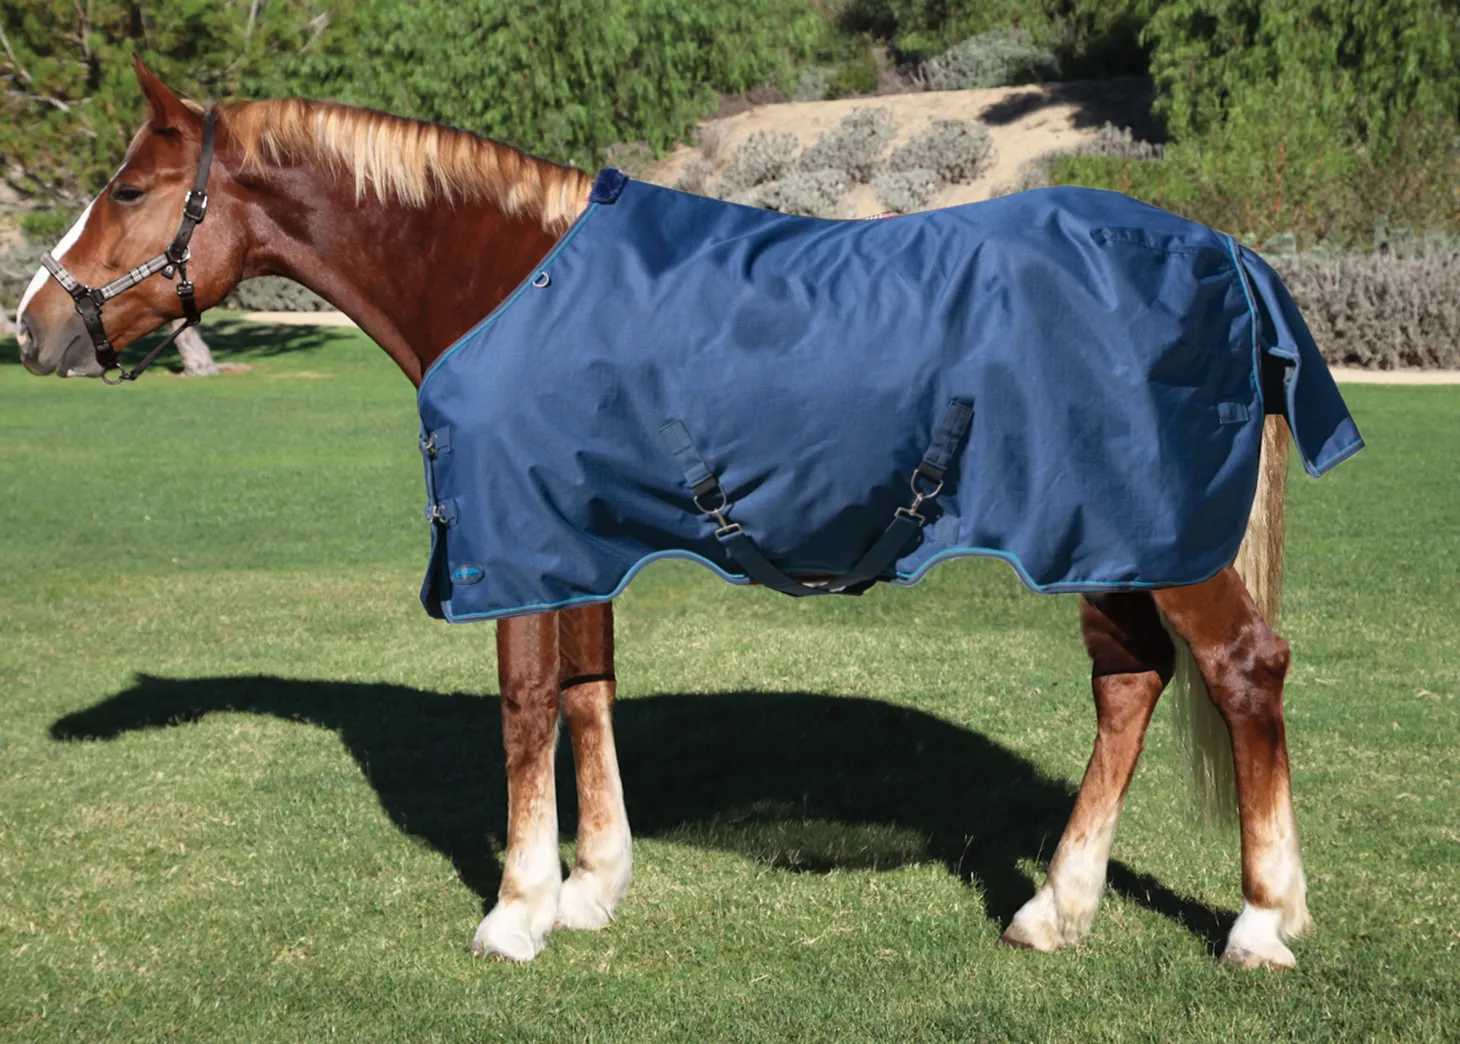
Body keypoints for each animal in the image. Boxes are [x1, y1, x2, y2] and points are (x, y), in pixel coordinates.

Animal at [16, 57, 1332, 969]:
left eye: (130, 190)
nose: (32, 326)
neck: (511, 278)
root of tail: (1222, 253)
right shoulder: (578, 542)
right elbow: (588, 690)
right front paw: (592, 887)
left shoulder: (520, 543)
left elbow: (526, 706)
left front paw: (515, 913)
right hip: (1104, 538)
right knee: (1130, 682)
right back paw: (1053, 910)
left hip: (1156, 539)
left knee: (1241, 668)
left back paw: (1260, 924)